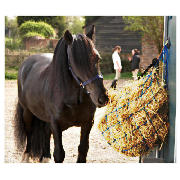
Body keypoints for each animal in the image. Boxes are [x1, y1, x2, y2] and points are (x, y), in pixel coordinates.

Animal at [14, 25, 108, 163]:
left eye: (98, 58)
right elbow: (59, 154)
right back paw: (26, 156)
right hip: (27, 112)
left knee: (45, 132)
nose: (102, 98)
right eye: (75, 62)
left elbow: (83, 150)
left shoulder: (87, 123)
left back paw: (45, 157)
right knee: (29, 132)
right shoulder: (56, 124)